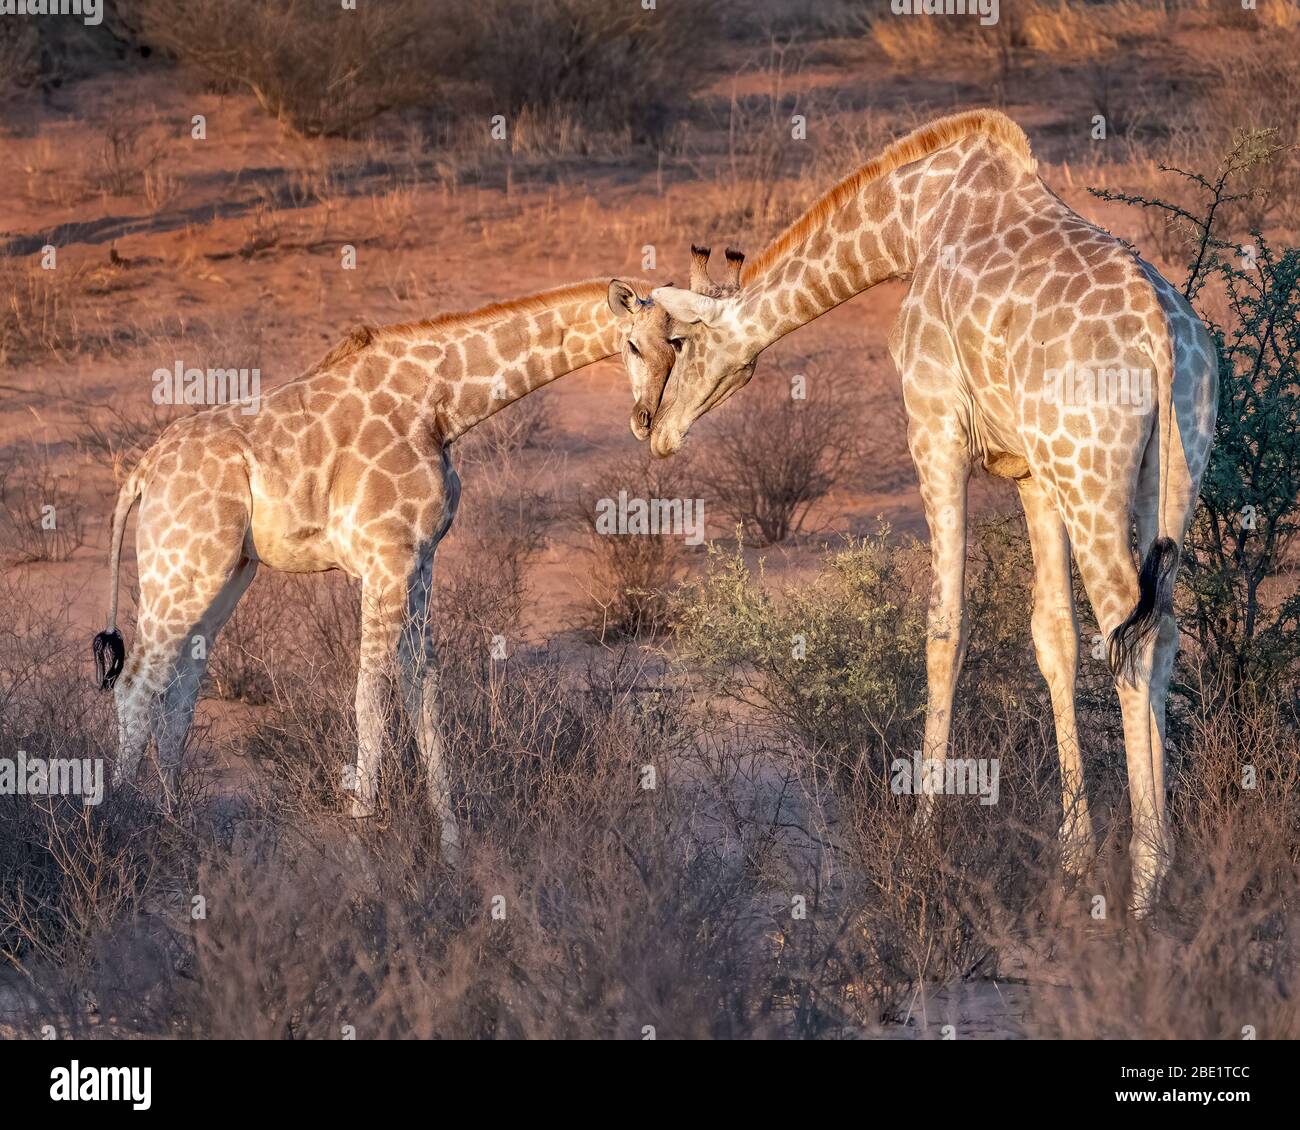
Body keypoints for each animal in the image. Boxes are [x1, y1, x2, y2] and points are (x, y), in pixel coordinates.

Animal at [94, 278, 670, 853]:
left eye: (678, 344)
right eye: (633, 346)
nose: (649, 421)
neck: (442, 407)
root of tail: (144, 470)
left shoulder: (420, 561)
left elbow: (424, 690)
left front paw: (451, 845)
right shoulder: (385, 559)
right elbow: (370, 693)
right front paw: (359, 840)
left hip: (226, 572)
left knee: (179, 693)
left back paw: (177, 828)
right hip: (182, 567)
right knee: (136, 685)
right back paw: (118, 826)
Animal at [618, 110, 1216, 910]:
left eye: (670, 340)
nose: (653, 428)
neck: (910, 222)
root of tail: (1162, 338)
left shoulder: (935, 423)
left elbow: (945, 627)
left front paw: (924, 836)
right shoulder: (1032, 468)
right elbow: (1052, 635)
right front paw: (1072, 855)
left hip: (1090, 474)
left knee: (1129, 625)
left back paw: (1148, 879)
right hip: (1169, 473)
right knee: (1164, 628)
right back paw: (1156, 865)